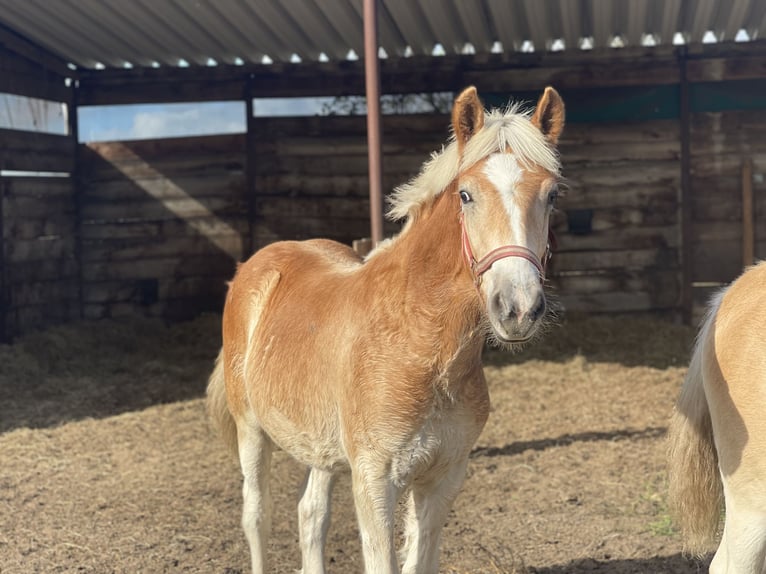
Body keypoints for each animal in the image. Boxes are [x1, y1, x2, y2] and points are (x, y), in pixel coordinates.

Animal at [207, 86, 568, 574]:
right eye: (466, 195)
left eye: (551, 195)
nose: (519, 308)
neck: (422, 347)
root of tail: (255, 265)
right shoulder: (374, 480)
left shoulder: (443, 476)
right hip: (251, 429)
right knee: (256, 516)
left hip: (320, 446)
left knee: (311, 515)